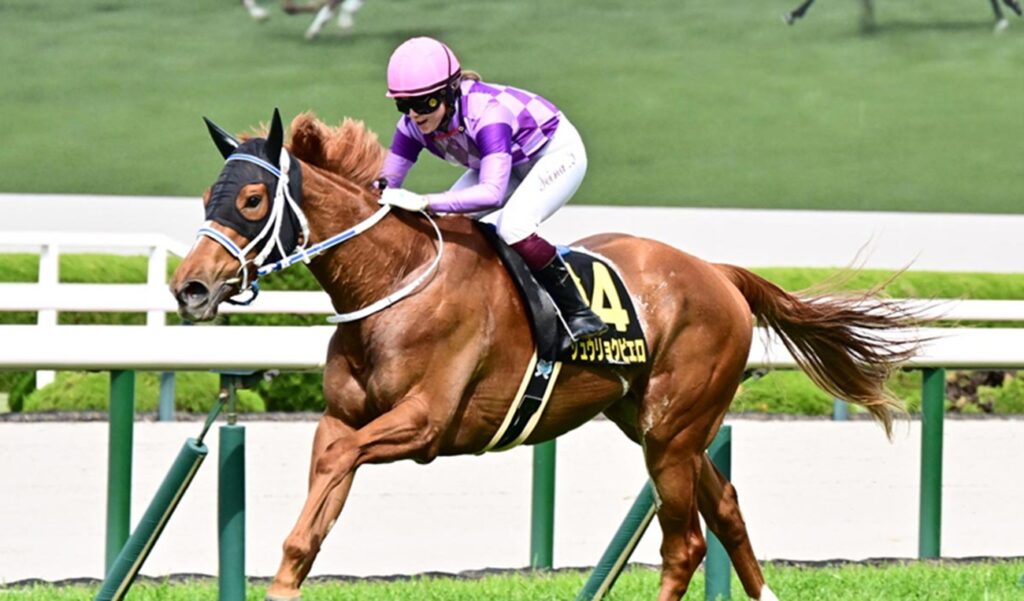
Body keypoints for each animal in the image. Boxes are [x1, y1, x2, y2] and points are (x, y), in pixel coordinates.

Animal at [170, 109, 920, 601]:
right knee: (728, 509)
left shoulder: (425, 423)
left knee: (683, 544)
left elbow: (339, 462)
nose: (190, 287)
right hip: (656, 425)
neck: (392, 283)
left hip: (673, 431)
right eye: (206, 196)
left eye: (252, 198)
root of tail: (718, 273)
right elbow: (315, 509)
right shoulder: (339, 418)